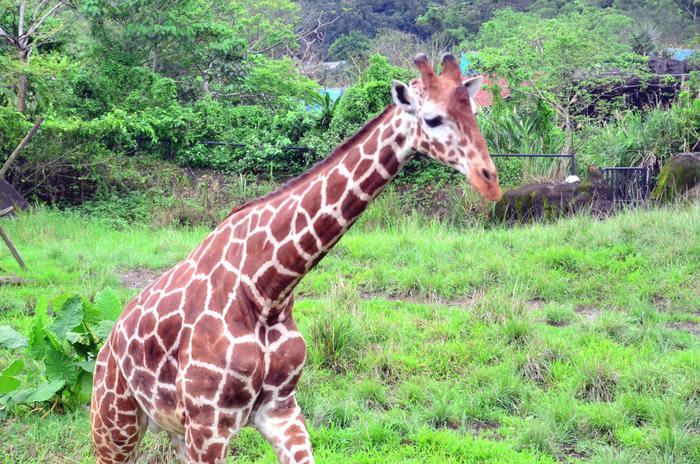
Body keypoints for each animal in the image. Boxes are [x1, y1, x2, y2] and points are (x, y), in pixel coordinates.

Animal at [90, 53, 501, 464]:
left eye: (474, 112)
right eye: (432, 118)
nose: (490, 181)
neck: (268, 289)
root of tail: (106, 343)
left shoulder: (280, 409)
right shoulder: (209, 422)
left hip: (172, 429)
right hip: (115, 423)